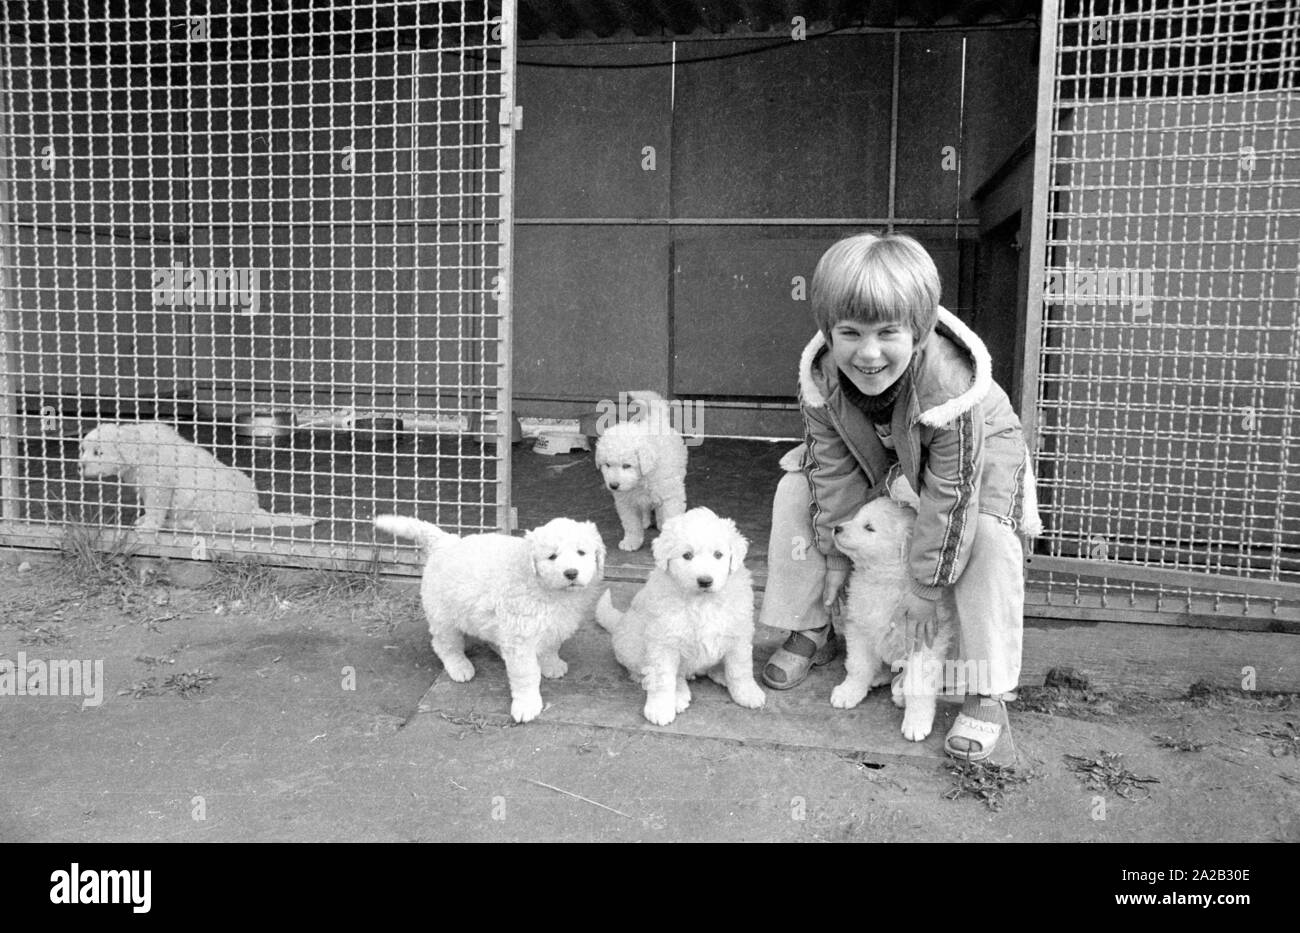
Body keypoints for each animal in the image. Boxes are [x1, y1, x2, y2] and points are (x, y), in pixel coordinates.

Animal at [79, 423, 317, 532]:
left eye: (98, 452)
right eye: (83, 450)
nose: (80, 465)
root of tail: (253, 513)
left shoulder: (160, 485)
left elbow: (156, 508)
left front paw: (149, 525)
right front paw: (144, 519)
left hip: (202, 501)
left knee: (200, 525)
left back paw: (175, 523)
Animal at [371, 519, 603, 722]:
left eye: (582, 552)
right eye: (552, 556)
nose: (571, 573)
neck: (548, 590)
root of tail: (446, 542)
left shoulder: (553, 624)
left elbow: (550, 647)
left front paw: (551, 664)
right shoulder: (520, 637)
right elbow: (526, 674)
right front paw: (527, 705)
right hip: (443, 615)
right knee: (445, 645)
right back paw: (459, 667)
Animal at [592, 389, 686, 550]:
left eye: (626, 465)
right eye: (607, 465)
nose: (613, 486)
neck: (641, 480)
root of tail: (654, 421)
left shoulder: (671, 495)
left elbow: (670, 514)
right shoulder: (625, 502)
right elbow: (631, 523)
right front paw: (631, 541)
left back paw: (659, 522)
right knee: (645, 508)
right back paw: (645, 521)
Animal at [595, 506, 764, 727]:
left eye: (718, 554)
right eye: (687, 555)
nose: (705, 581)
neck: (702, 602)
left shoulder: (738, 634)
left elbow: (740, 668)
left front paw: (747, 693)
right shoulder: (664, 641)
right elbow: (663, 678)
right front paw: (660, 708)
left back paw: (720, 673)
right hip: (630, 645)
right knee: (655, 674)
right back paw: (678, 694)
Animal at [826, 478, 961, 743]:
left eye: (869, 527)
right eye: (857, 517)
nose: (837, 528)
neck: (884, 580)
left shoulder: (924, 641)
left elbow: (917, 686)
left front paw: (916, 722)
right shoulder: (859, 626)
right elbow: (857, 665)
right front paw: (850, 691)